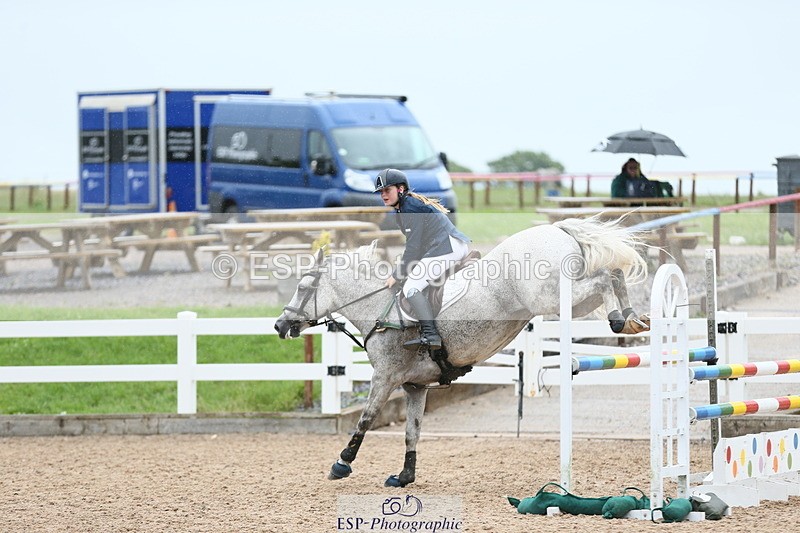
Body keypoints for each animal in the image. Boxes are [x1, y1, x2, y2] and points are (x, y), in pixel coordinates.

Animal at [275, 217, 649, 487]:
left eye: (303, 288)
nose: (280, 325)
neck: (378, 307)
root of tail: (556, 228)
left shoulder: (385, 377)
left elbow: (366, 420)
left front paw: (341, 464)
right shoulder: (415, 386)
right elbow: (412, 430)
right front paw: (405, 476)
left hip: (554, 297)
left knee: (604, 278)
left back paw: (620, 319)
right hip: (571, 300)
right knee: (613, 273)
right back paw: (631, 319)